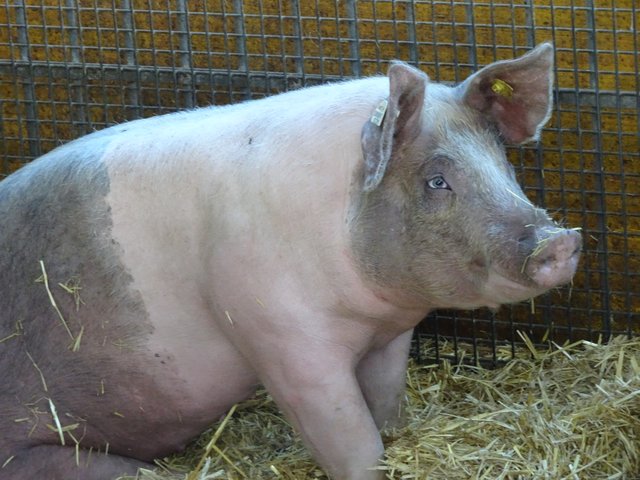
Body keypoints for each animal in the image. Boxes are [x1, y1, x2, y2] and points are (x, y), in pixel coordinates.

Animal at [0, 42, 580, 480]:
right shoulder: (279, 337)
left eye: (503, 165)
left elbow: (387, 403)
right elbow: (348, 439)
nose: (560, 241)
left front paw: (398, 434)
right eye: (437, 181)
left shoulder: (391, 337)